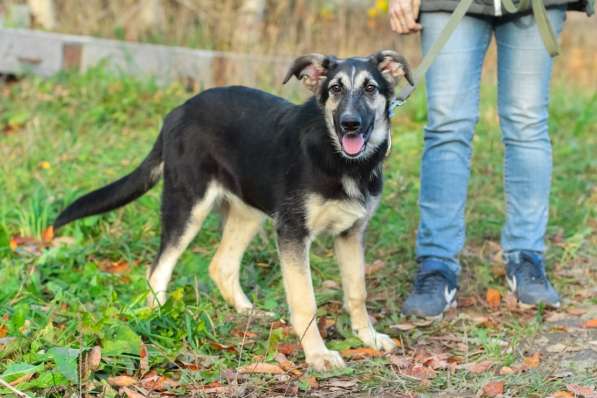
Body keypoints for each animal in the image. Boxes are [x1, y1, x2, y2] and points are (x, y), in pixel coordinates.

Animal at [53, 49, 412, 370]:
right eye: (335, 89)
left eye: (370, 88)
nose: (350, 124)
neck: (339, 159)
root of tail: (178, 111)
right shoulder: (293, 233)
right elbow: (305, 301)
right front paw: (317, 355)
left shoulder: (351, 233)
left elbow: (357, 292)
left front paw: (368, 337)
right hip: (187, 206)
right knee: (158, 269)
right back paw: (157, 316)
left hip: (248, 212)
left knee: (221, 265)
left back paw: (248, 311)